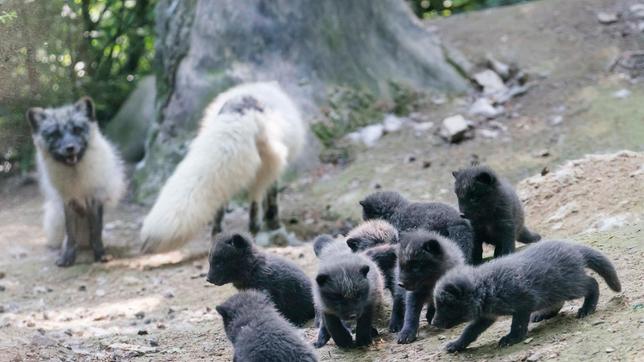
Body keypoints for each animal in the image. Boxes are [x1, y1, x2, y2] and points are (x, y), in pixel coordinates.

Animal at [27, 97, 126, 268]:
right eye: (55, 134)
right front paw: (67, 257)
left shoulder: (94, 199)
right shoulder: (68, 201)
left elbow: (96, 232)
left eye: (77, 129)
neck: (75, 175)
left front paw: (100, 254)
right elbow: (71, 235)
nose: (70, 148)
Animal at [140, 81, 304, 253]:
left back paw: (219, 239)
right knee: (255, 207)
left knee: (220, 211)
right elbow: (271, 200)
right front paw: (274, 226)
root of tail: (240, 110)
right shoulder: (276, 169)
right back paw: (256, 235)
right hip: (264, 168)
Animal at [430, 239, 620, 352]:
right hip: (555, 289)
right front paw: (457, 345)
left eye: (446, 305)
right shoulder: (487, 315)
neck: (489, 286)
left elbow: (518, 325)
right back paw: (544, 314)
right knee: (558, 301)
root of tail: (572, 247)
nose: (434, 323)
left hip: (571, 286)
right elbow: (469, 331)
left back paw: (587, 309)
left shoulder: (523, 303)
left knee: (592, 284)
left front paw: (512, 339)